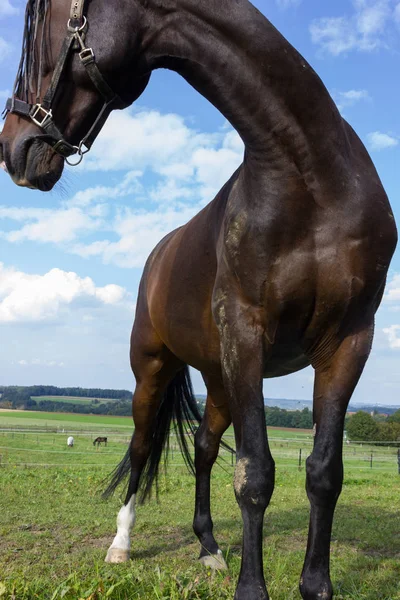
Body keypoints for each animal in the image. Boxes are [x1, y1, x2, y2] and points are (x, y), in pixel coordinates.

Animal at [0, 1, 396, 600]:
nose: (13, 148)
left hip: (221, 379)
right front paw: (252, 589)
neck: (312, 176)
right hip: (155, 370)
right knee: (142, 448)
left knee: (206, 450)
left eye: (44, 27)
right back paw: (121, 544)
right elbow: (255, 474)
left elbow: (324, 472)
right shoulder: (247, 336)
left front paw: (314, 586)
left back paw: (209, 548)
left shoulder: (349, 342)